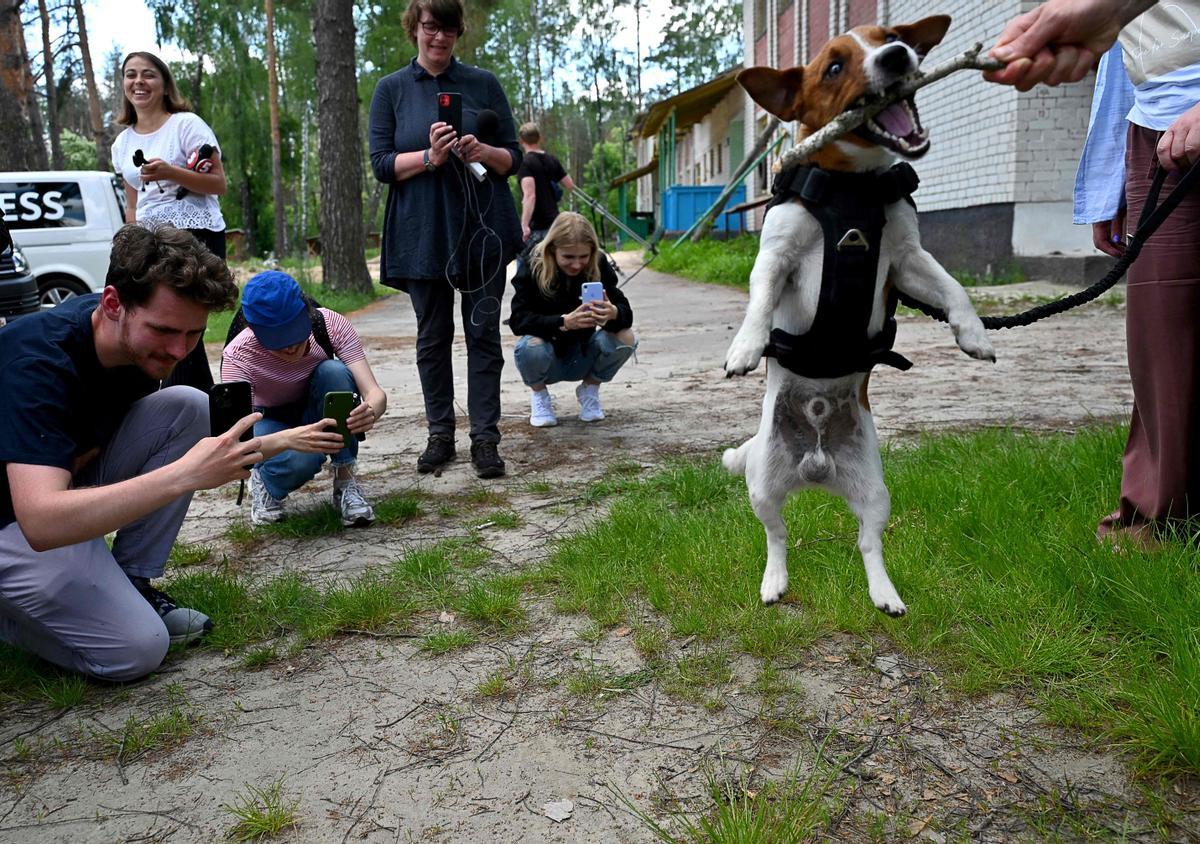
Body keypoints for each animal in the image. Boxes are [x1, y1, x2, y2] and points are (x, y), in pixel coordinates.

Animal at [720, 16, 993, 619]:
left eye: (892, 36)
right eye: (835, 67)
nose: (897, 57)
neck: (852, 185)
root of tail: (817, 469)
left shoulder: (907, 260)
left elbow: (954, 287)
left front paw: (974, 333)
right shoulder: (776, 257)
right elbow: (758, 302)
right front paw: (746, 347)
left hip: (875, 492)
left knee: (868, 542)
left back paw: (884, 592)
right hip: (762, 487)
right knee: (777, 536)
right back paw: (774, 581)